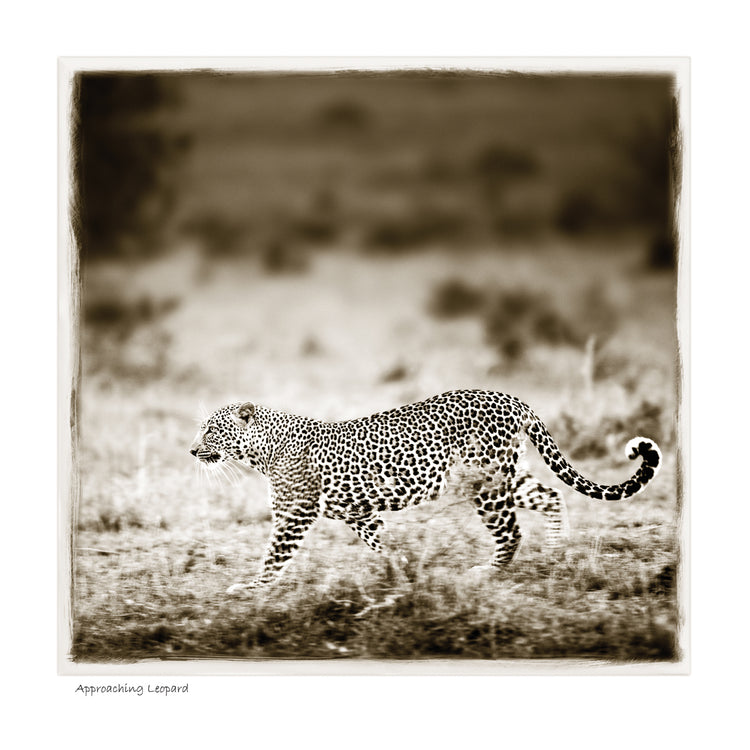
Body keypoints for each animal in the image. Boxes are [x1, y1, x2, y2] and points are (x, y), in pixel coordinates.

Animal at [189, 389, 661, 593]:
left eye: (211, 429)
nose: (192, 450)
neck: (261, 451)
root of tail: (513, 398)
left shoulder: (296, 513)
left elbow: (274, 556)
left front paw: (251, 588)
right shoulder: (359, 513)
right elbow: (381, 543)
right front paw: (401, 566)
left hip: (486, 484)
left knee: (511, 532)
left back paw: (486, 573)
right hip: (505, 476)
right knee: (549, 495)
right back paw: (556, 552)